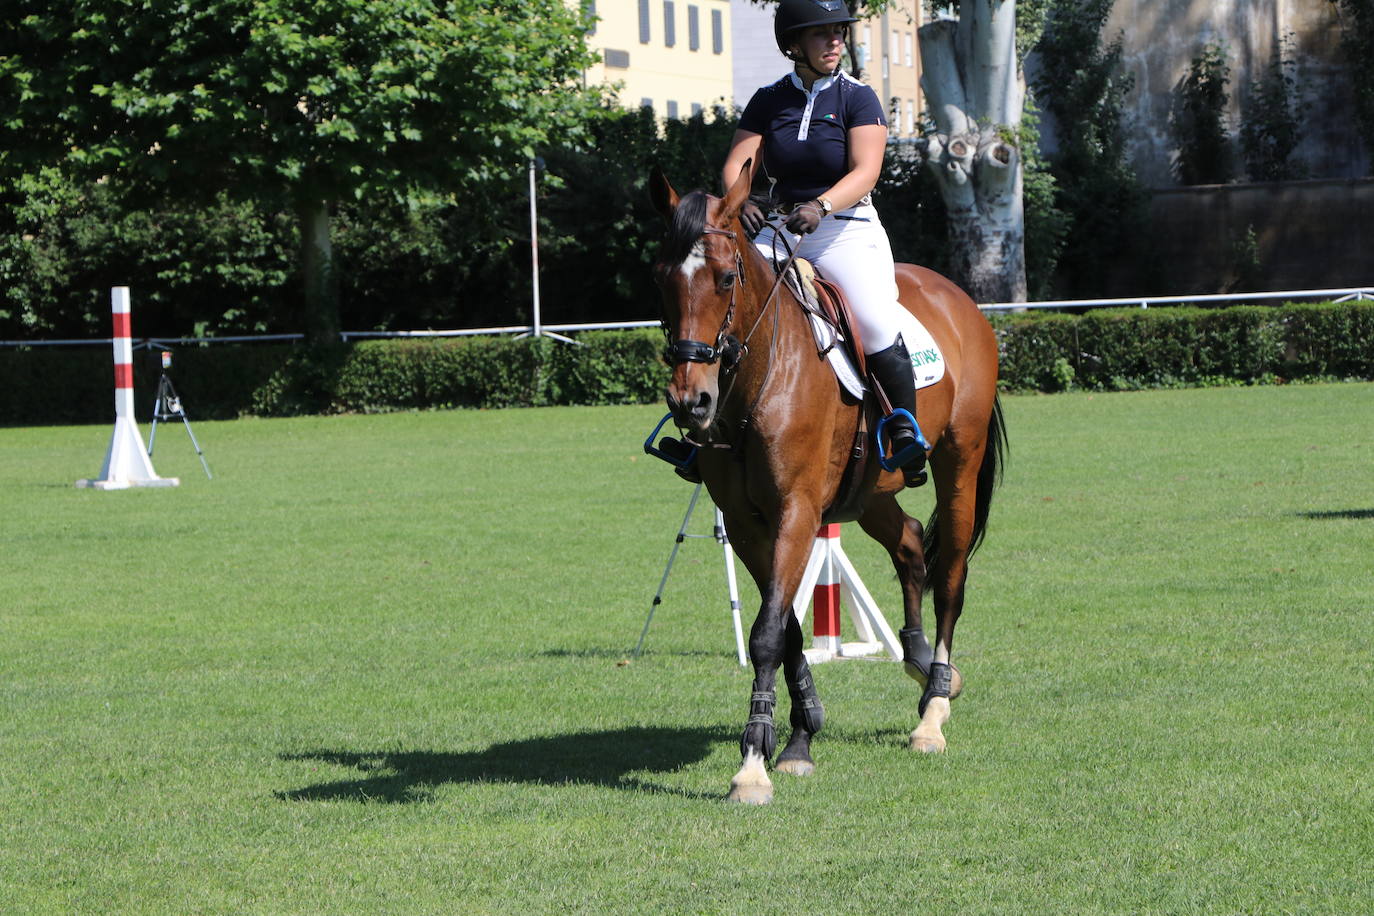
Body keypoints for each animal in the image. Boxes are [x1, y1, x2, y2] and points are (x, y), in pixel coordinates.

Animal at [648, 162, 1005, 802]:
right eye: (662, 281)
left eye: (725, 277)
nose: (692, 402)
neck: (760, 375)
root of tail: (958, 298)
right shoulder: (746, 522)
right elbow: (786, 628)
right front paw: (799, 736)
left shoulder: (796, 509)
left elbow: (768, 632)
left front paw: (753, 764)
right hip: (870, 491)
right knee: (909, 541)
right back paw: (918, 661)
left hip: (958, 465)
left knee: (950, 577)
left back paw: (934, 709)